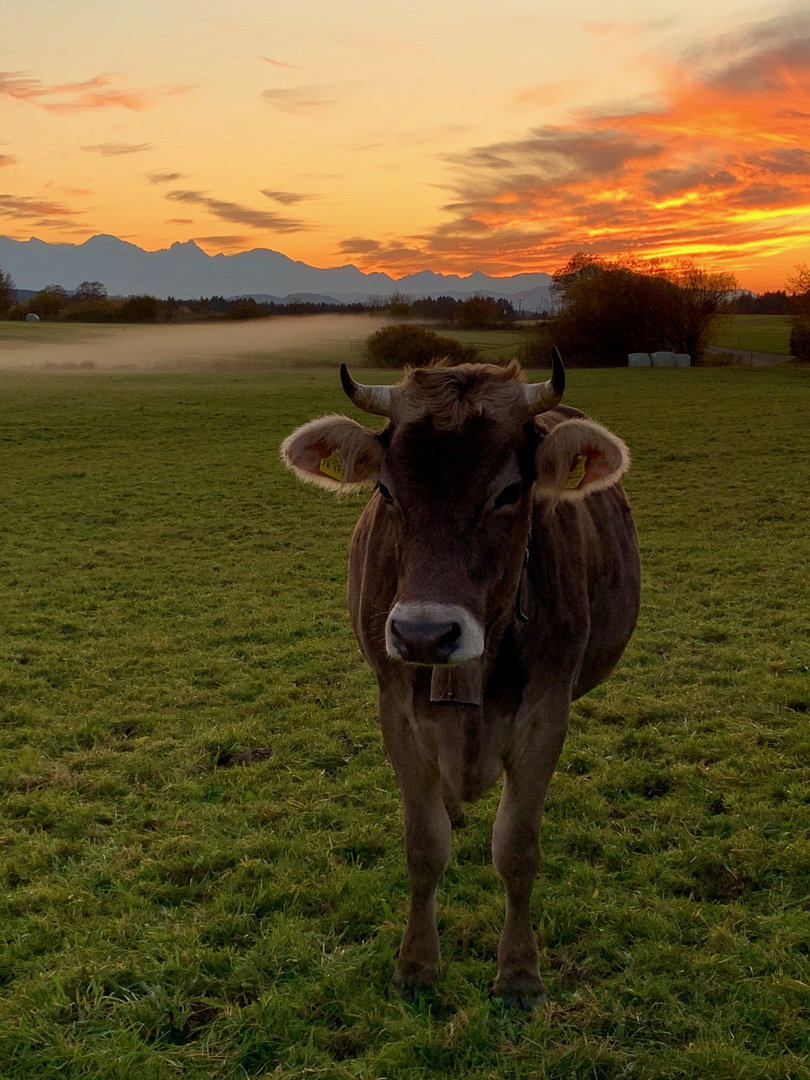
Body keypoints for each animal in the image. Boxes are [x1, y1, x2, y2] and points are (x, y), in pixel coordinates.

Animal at [282, 356, 643, 1010]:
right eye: (386, 490)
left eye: (508, 491)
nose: (425, 633)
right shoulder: (396, 712)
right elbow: (424, 846)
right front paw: (416, 965)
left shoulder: (546, 713)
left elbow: (517, 848)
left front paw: (519, 973)